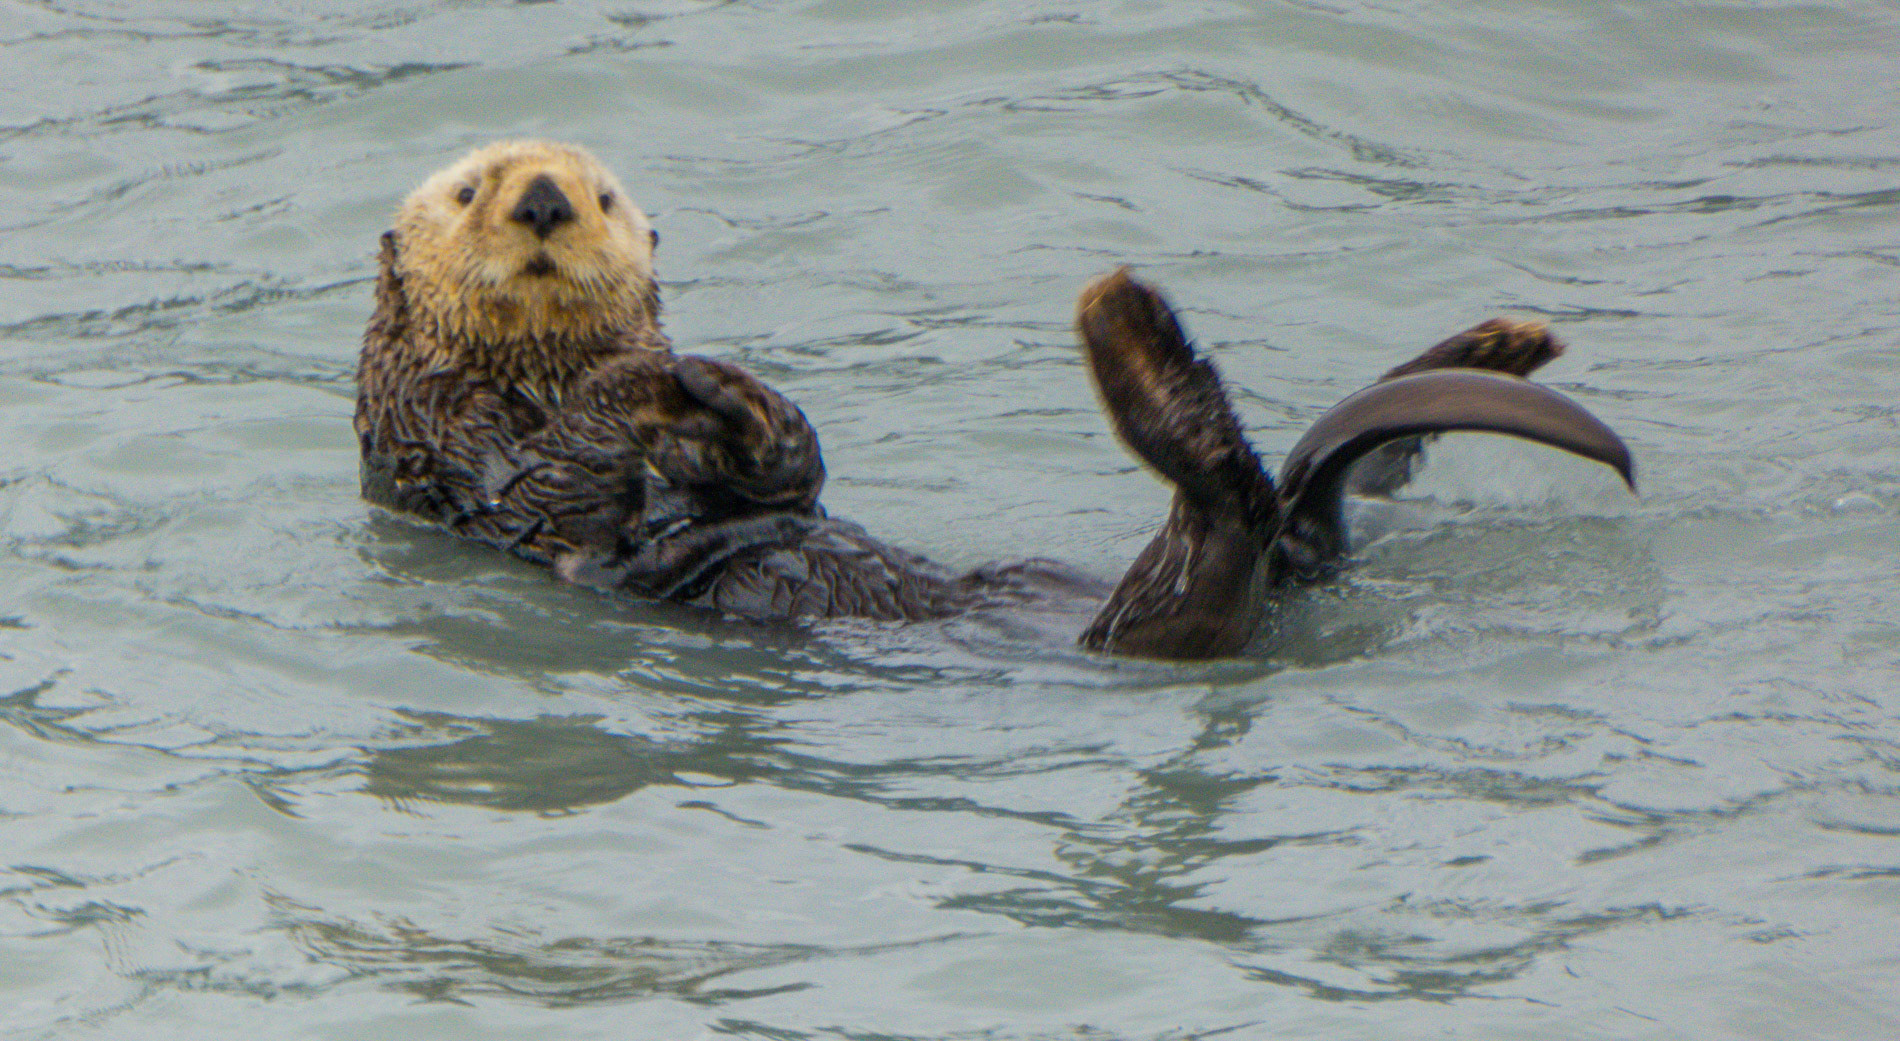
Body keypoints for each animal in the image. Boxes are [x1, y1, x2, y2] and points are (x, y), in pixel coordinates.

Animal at [356, 141, 1634, 660]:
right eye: (469, 189)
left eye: (607, 197)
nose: (542, 201)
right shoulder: (453, 443)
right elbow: (552, 478)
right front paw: (669, 387)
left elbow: (790, 470)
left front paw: (721, 397)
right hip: (1156, 615)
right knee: (1222, 516)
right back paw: (1133, 336)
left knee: (1287, 508)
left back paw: (1496, 343)